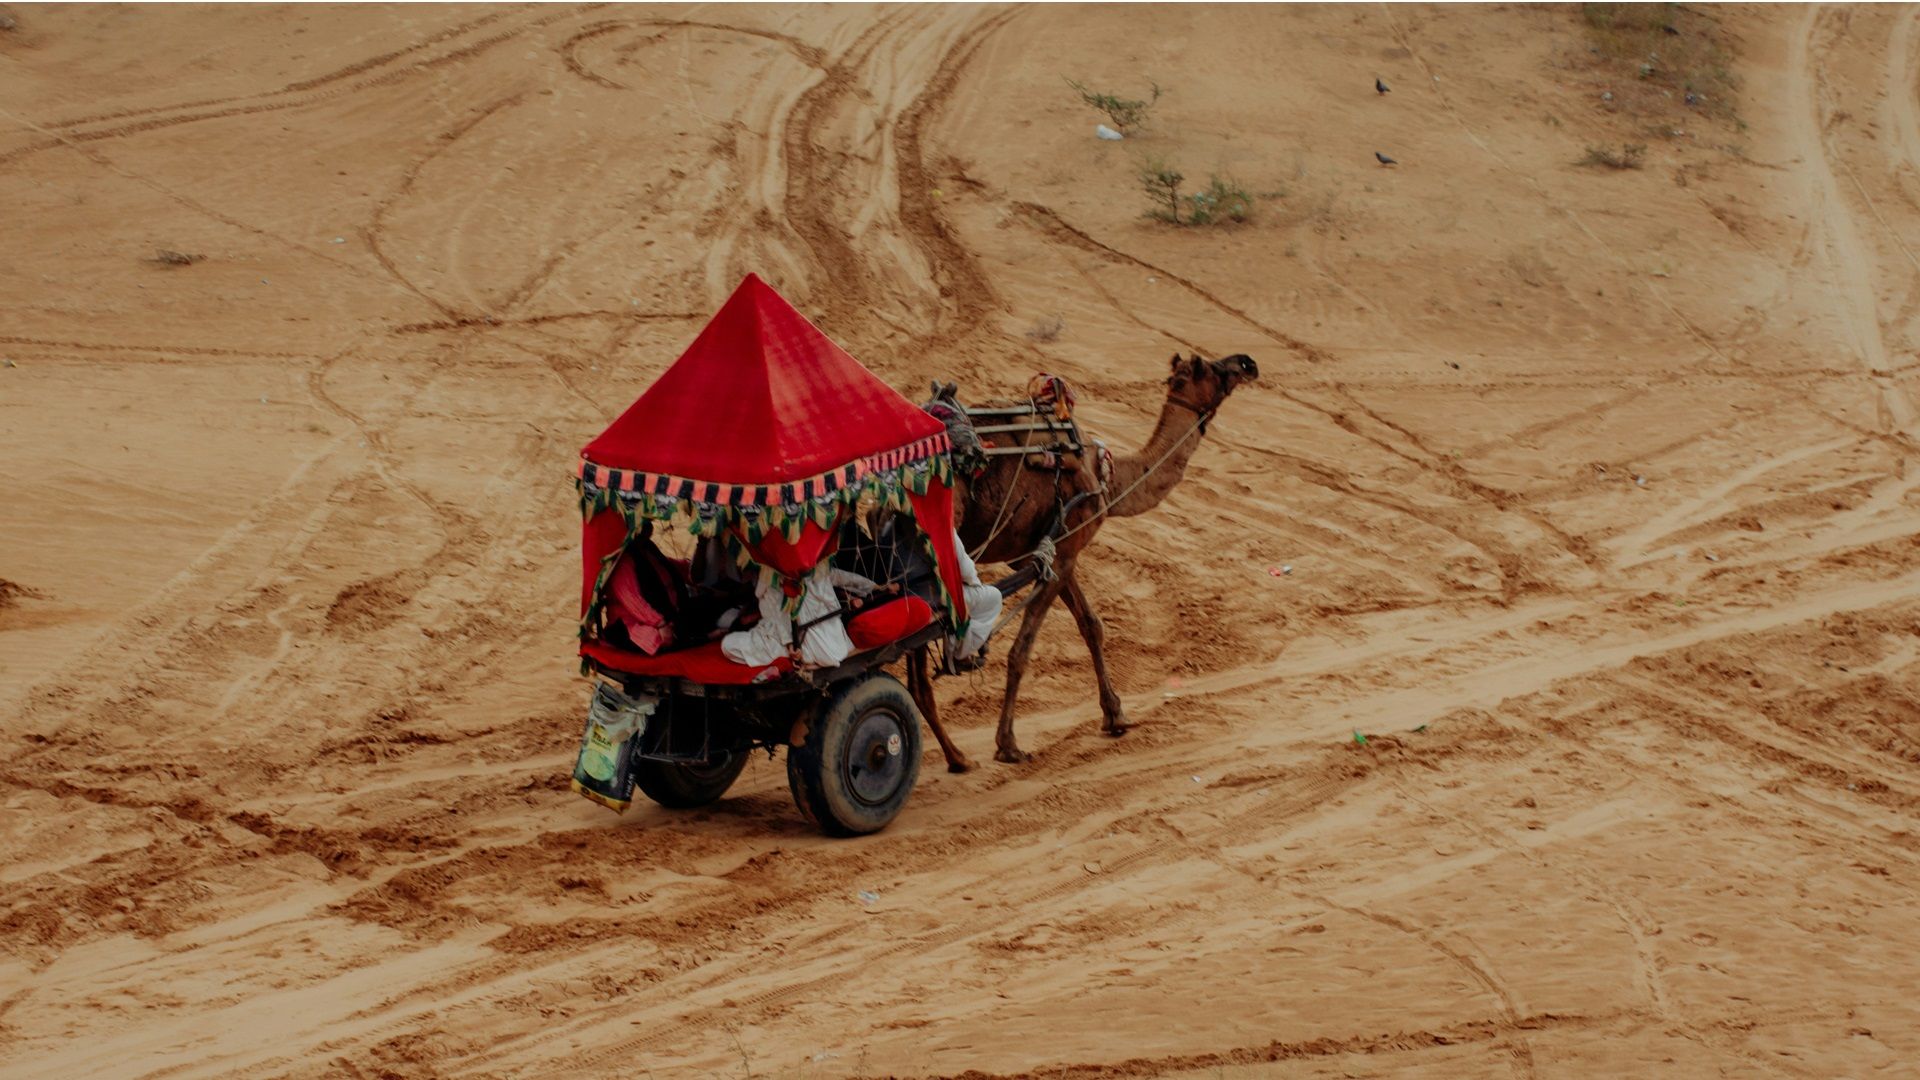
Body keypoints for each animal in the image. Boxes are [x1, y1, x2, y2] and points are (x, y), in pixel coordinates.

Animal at [902, 353, 1251, 764]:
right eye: (1212, 369)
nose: (1247, 363)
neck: (1108, 481)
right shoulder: (1063, 550)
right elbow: (1023, 649)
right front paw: (1008, 745)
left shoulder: (1053, 552)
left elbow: (1091, 624)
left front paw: (1115, 715)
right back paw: (952, 754)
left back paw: (954, 756)